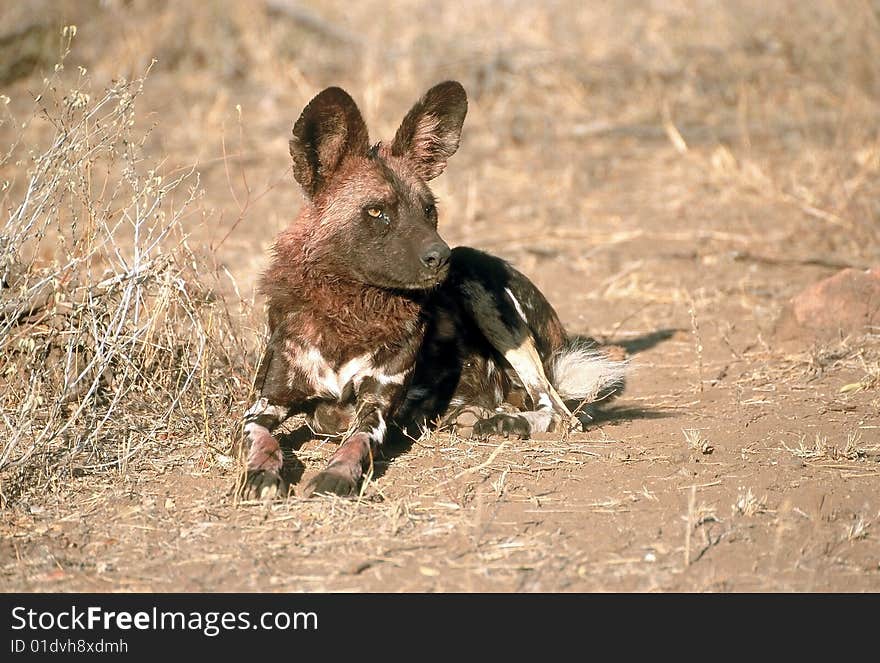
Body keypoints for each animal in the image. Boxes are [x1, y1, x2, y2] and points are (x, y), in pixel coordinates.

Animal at [241, 81, 624, 498]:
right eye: (376, 212)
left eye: (428, 210)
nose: (442, 257)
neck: (348, 312)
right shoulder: (265, 403)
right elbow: (262, 438)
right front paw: (261, 471)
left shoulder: (375, 408)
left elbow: (354, 442)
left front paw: (336, 475)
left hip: (482, 290)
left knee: (560, 412)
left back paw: (505, 422)